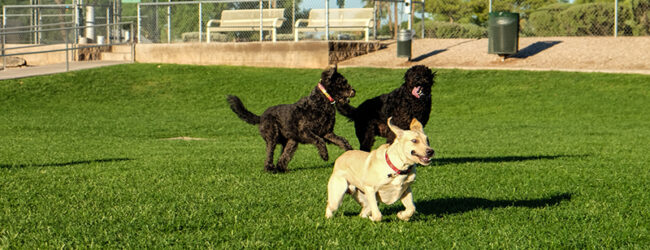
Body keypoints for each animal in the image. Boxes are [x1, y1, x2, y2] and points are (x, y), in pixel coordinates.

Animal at [224, 66, 354, 173]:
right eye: (343, 82)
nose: (354, 91)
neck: (321, 101)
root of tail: (261, 117)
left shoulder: (327, 132)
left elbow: (342, 140)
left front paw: (350, 151)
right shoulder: (305, 131)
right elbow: (319, 141)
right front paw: (324, 155)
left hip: (291, 141)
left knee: (284, 155)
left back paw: (282, 168)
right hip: (272, 136)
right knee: (270, 153)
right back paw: (270, 169)